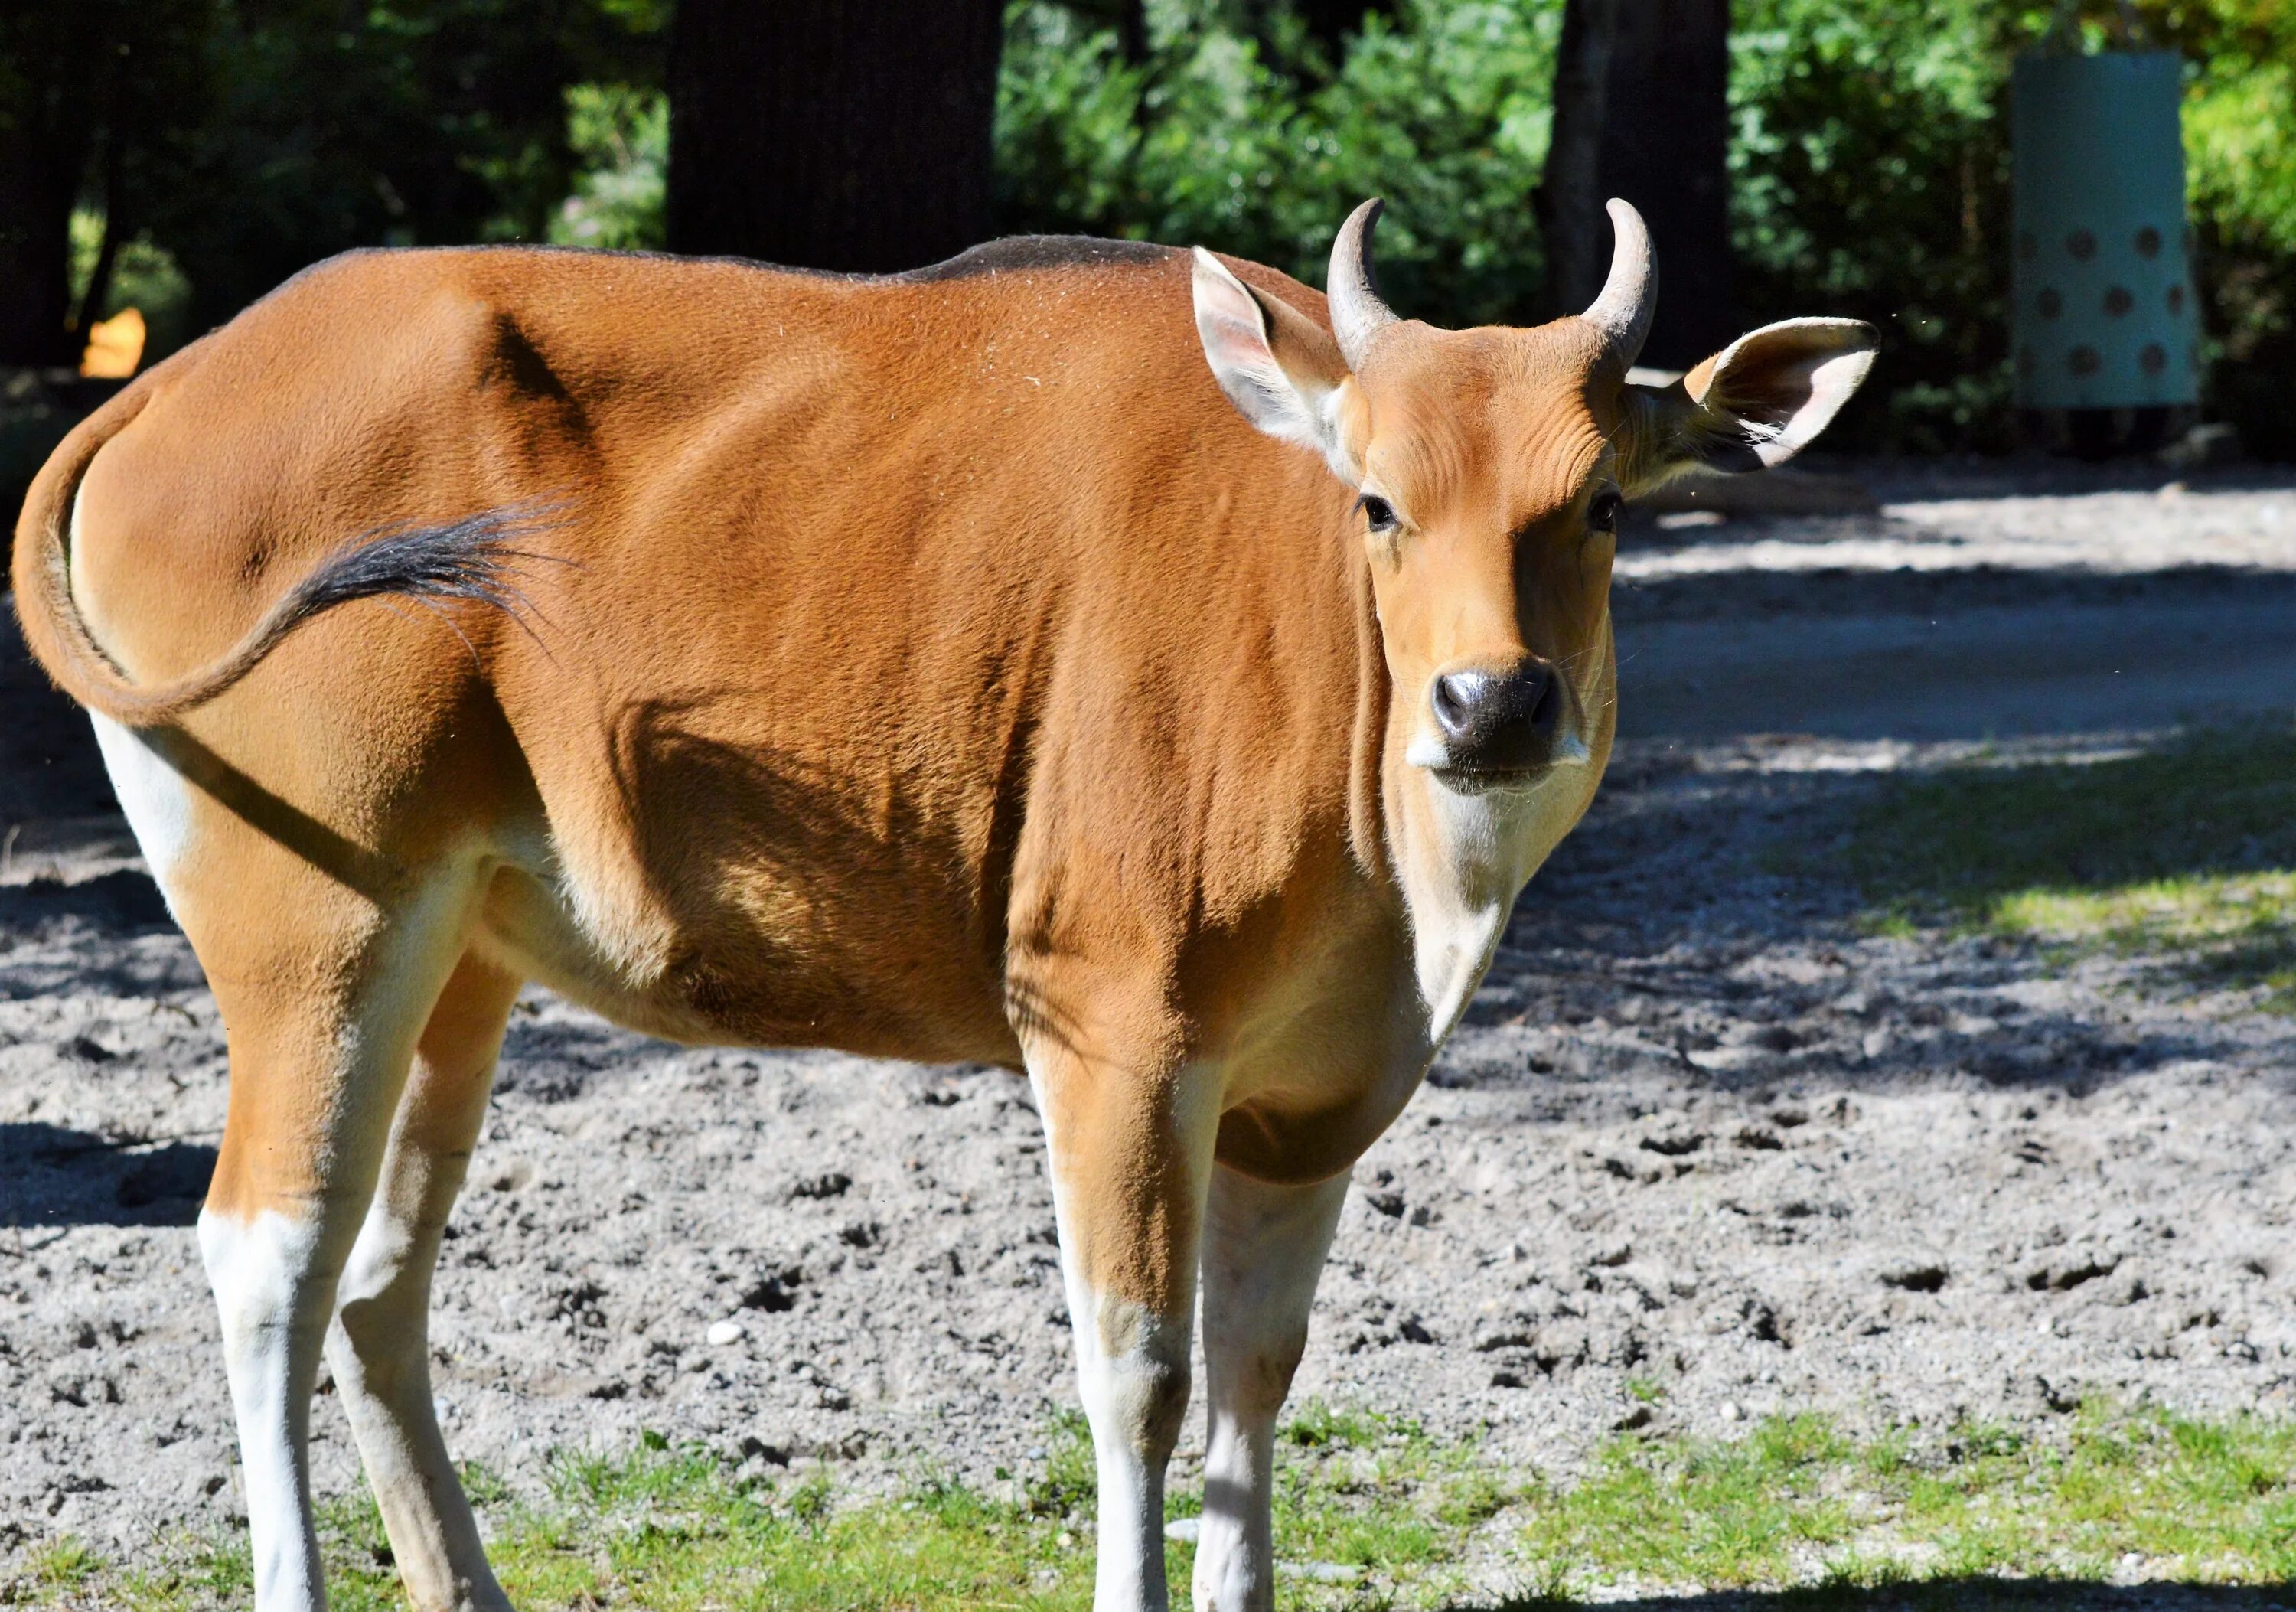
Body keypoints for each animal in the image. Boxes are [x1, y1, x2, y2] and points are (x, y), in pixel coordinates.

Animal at [13, 205, 1864, 1612]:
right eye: (1379, 502)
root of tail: (168, 387)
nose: (1493, 704)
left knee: (378, 1279)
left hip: (457, 953)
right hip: (315, 929)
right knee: (266, 1256)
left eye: (1603, 502)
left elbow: (1258, 1376)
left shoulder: (1311, 1100)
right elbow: (1141, 1375)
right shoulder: (1113, 1034)